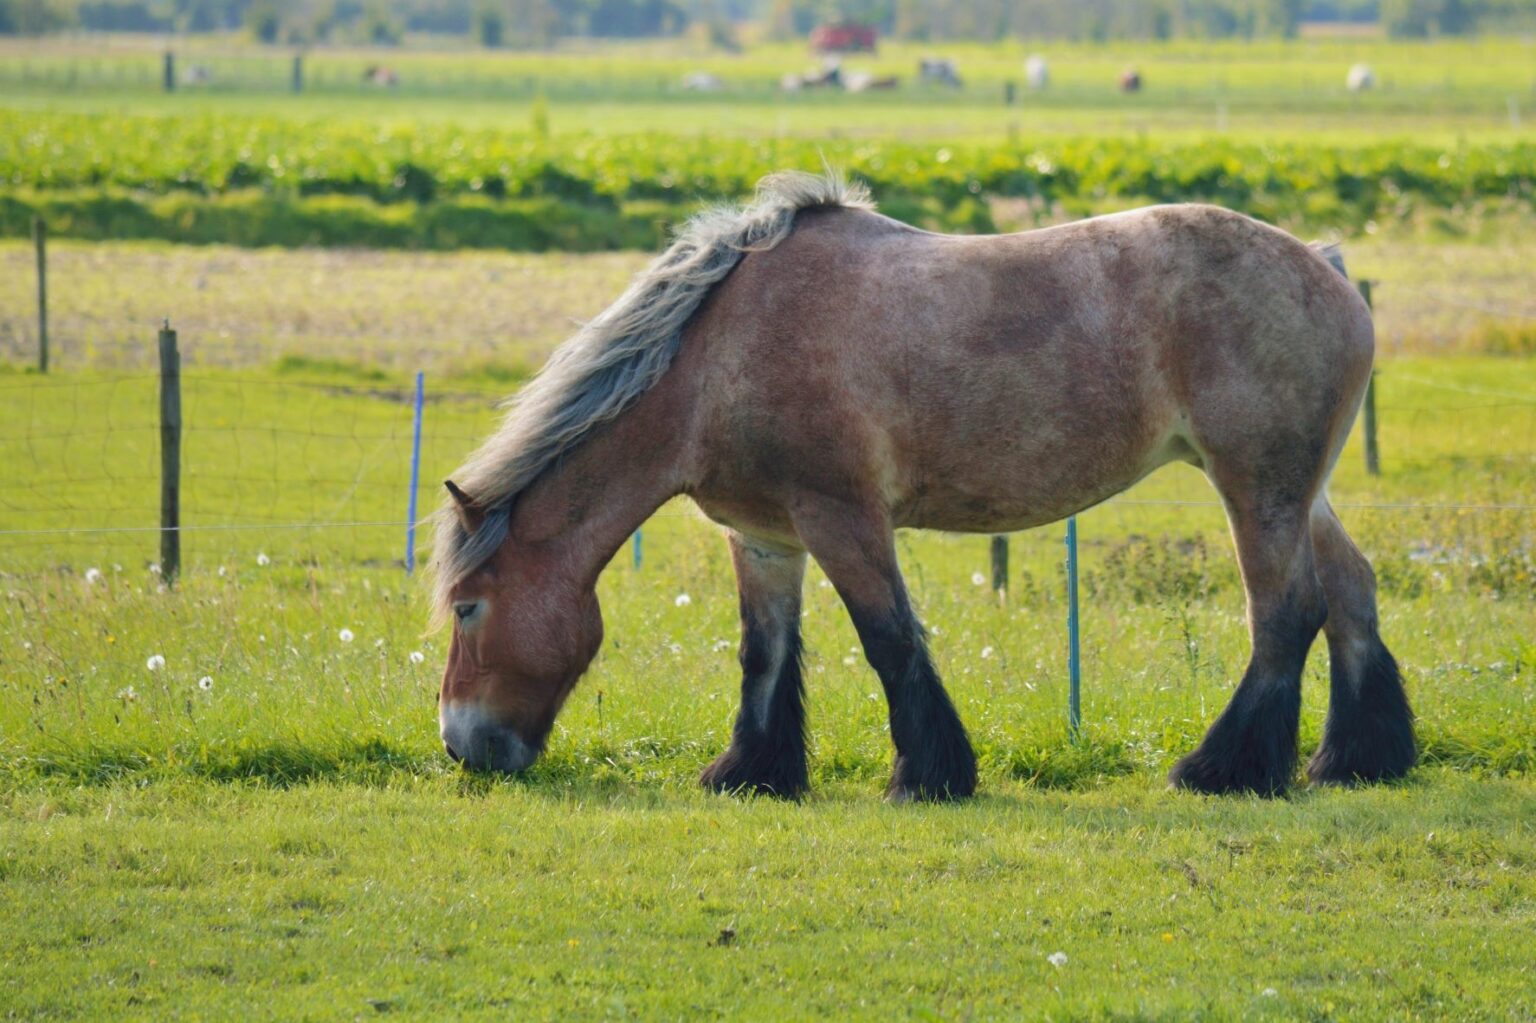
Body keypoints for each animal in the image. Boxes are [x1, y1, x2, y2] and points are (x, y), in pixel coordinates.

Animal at [433, 171, 1413, 798]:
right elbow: (764, 653)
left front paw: (930, 774)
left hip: (1258, 489)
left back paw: (1224, 770)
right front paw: (752, 772)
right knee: (1352, 593)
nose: (460, 745)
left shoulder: (842, 518)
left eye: (468, 607)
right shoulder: (764, 536)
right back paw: (1355, 759)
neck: (717, 360)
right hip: (1301, 493)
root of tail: (1324, 263)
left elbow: (889, 638)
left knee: (1285, 613)